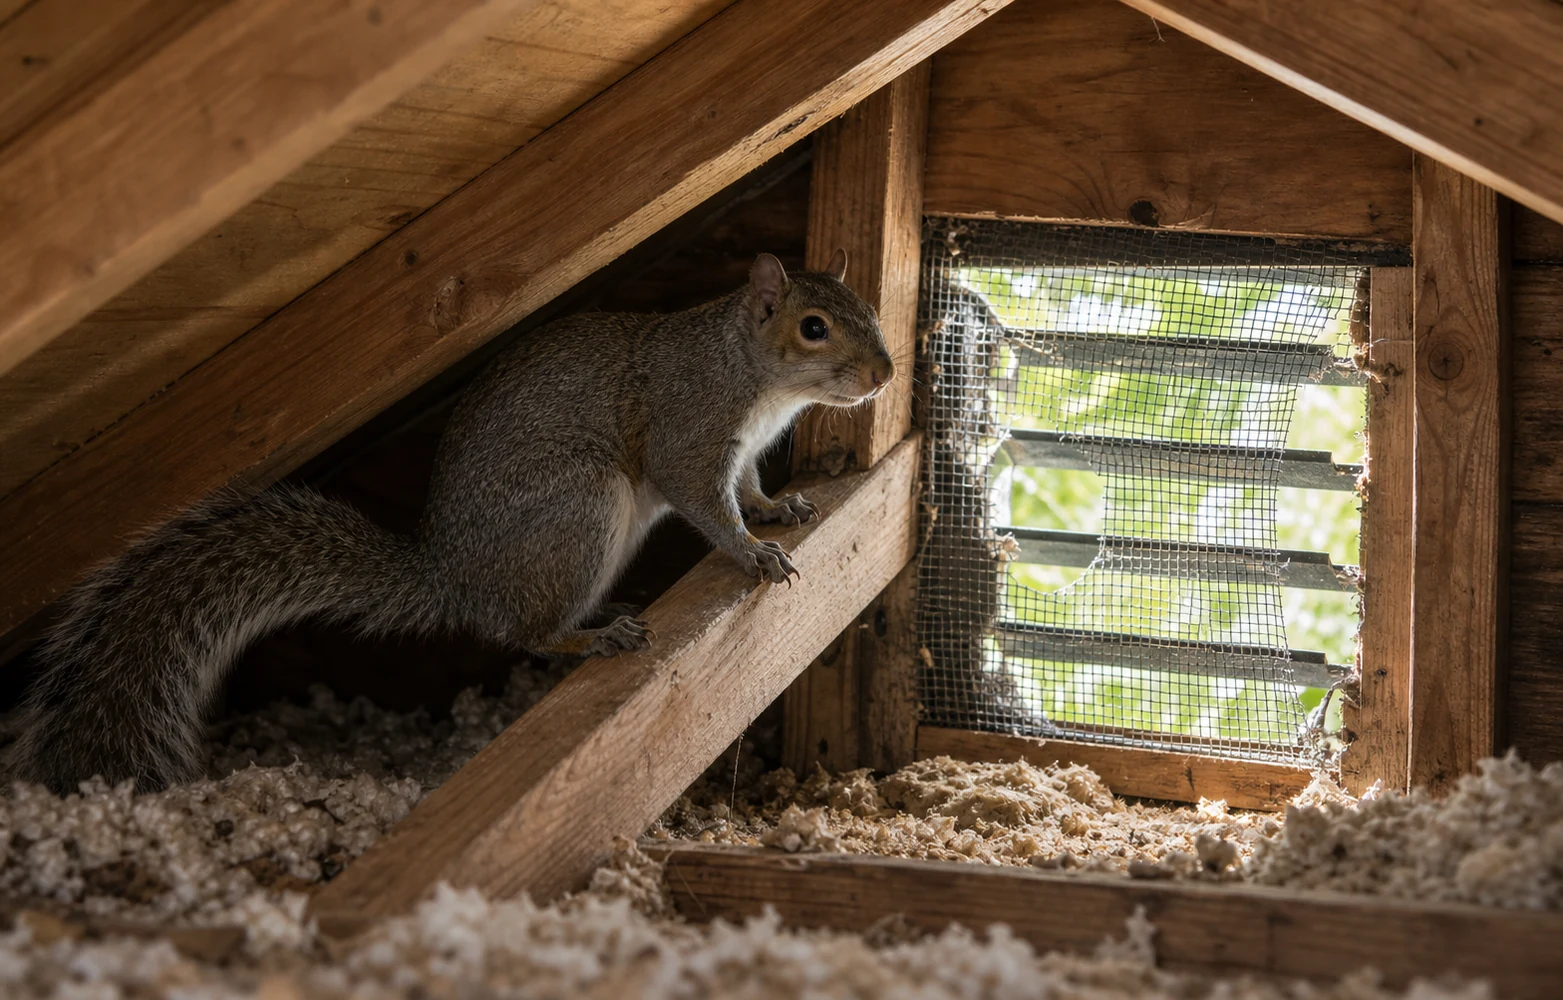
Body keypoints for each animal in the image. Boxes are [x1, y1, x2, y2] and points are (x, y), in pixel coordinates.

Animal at [6, 251, 894, 794]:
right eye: (813, 327)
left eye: (870, 311)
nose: (884, 373)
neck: (752, 374)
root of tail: (450, 577)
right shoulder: (690, 425)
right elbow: (704, 500)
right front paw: (750, 551)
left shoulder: (740, 447)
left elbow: (746, 485)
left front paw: (778, 508)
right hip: (576, 509)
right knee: (521, 630)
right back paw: (587, 635)